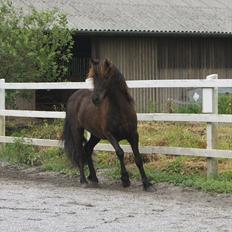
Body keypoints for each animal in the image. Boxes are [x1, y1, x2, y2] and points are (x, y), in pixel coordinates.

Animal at [63, 58, 154, 190]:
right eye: (94, 78)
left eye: (106, 77)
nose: (95, 99)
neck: (120, 110)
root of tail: (73, 97)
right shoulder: (109, 135)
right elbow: (120, 152)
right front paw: (125, 180)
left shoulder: (133, 135)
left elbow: (138, 158)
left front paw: (147, 184)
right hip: (77, 131)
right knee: (80, 153)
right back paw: (83, 180)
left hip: (95, 135)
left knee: (88, 149)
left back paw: (94, 178)